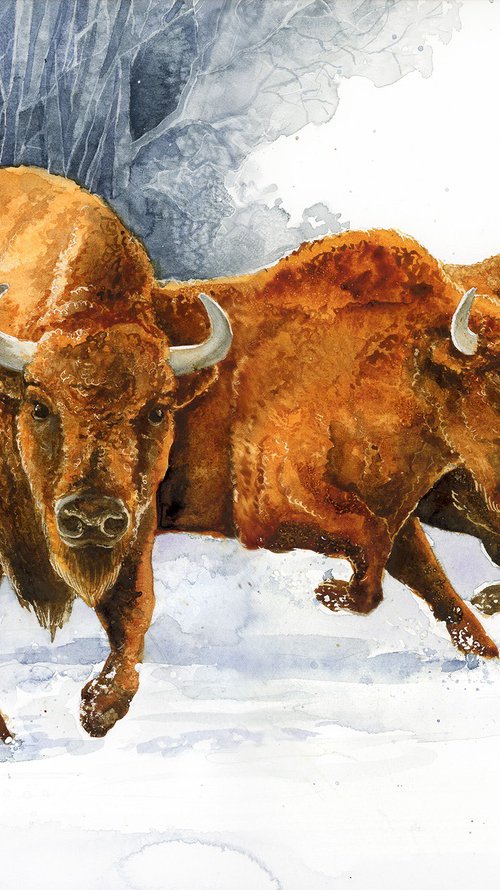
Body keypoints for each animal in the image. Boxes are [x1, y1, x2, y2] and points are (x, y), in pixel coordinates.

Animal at [0, 166, 498, 740]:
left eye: (159, 411)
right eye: (38, 407)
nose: (90, 514)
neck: (401, 363)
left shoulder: (396, 514)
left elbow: (426, 580)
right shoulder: (268, 510)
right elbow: (373, 551)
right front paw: (331, 593)